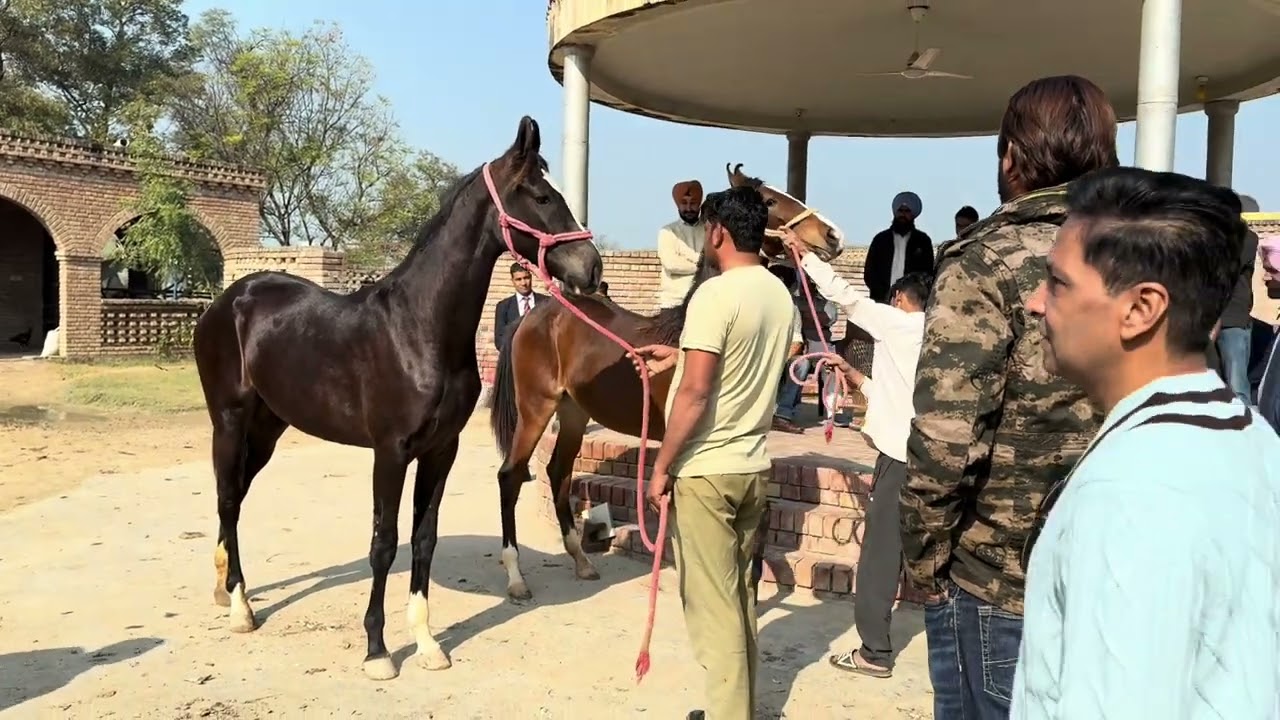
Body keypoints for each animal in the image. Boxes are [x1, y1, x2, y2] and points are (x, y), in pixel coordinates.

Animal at [192, 116, 603, 681]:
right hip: (229, 421)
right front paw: (377, 651)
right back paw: (240, 609)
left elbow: (423, 540)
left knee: (234, 497)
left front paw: (427, 645)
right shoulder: (390, 454)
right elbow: (384, 544)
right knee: (228, 499)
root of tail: (227, 300)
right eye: (541, 195)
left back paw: (223, 587)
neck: (418, 329)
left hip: (268, 429)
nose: (592, 268)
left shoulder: (440, 451)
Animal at [487, 163, 846, 600]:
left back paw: (583, 561)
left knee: (558, 472)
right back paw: (516, 577)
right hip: (536, 408)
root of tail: (533, 316)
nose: (832, 236)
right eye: (770, 200)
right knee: (510, 475)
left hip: (572, 412)